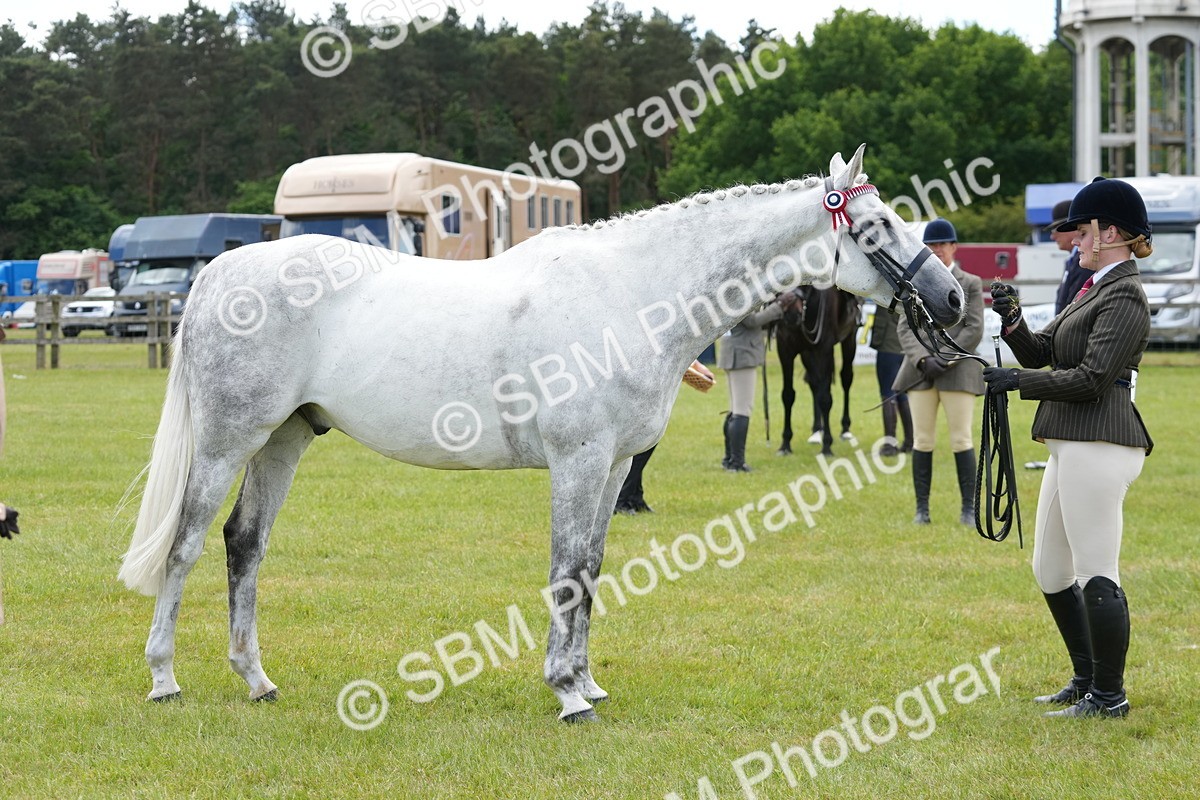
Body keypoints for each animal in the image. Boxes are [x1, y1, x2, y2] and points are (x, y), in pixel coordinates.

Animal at [773, 286, 862, 457]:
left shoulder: (824, 348)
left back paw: (845, 429)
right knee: (815, 383)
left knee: (846, 378)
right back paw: (816, 431)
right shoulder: (785, 349)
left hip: (849, 339)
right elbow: (788, 395)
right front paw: (785, 444)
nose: (791, 314)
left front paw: (827, 446)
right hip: (807, 352)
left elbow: (825, 398)